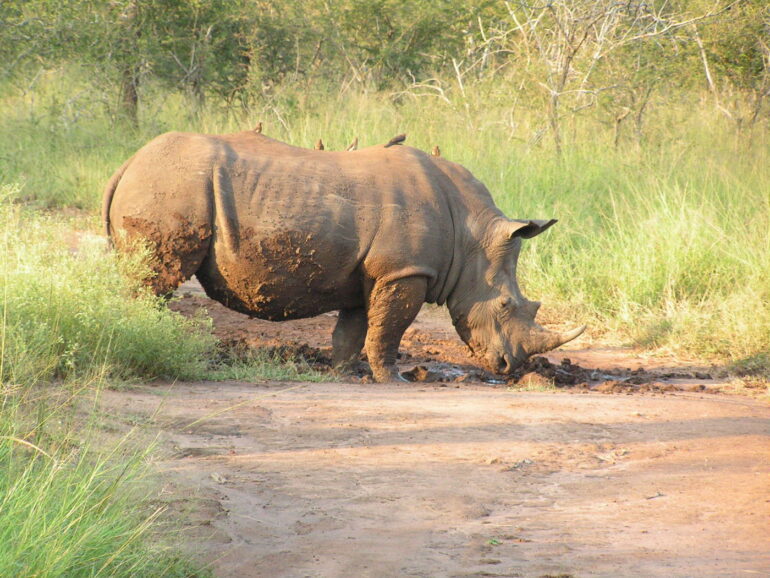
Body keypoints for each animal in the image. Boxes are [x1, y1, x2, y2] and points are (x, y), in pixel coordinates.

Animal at [103, 131, 584, 381]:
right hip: (169, 186)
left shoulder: (371, 272)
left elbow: (354, 328)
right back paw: (146, 348)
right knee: (155, 282)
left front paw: (343, 372)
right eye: (504, 305)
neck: (473, 234)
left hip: (163, 183)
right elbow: (390, 328)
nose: (508, 368)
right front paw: (394, 379)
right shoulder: (404, 272)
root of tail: (126, 164)